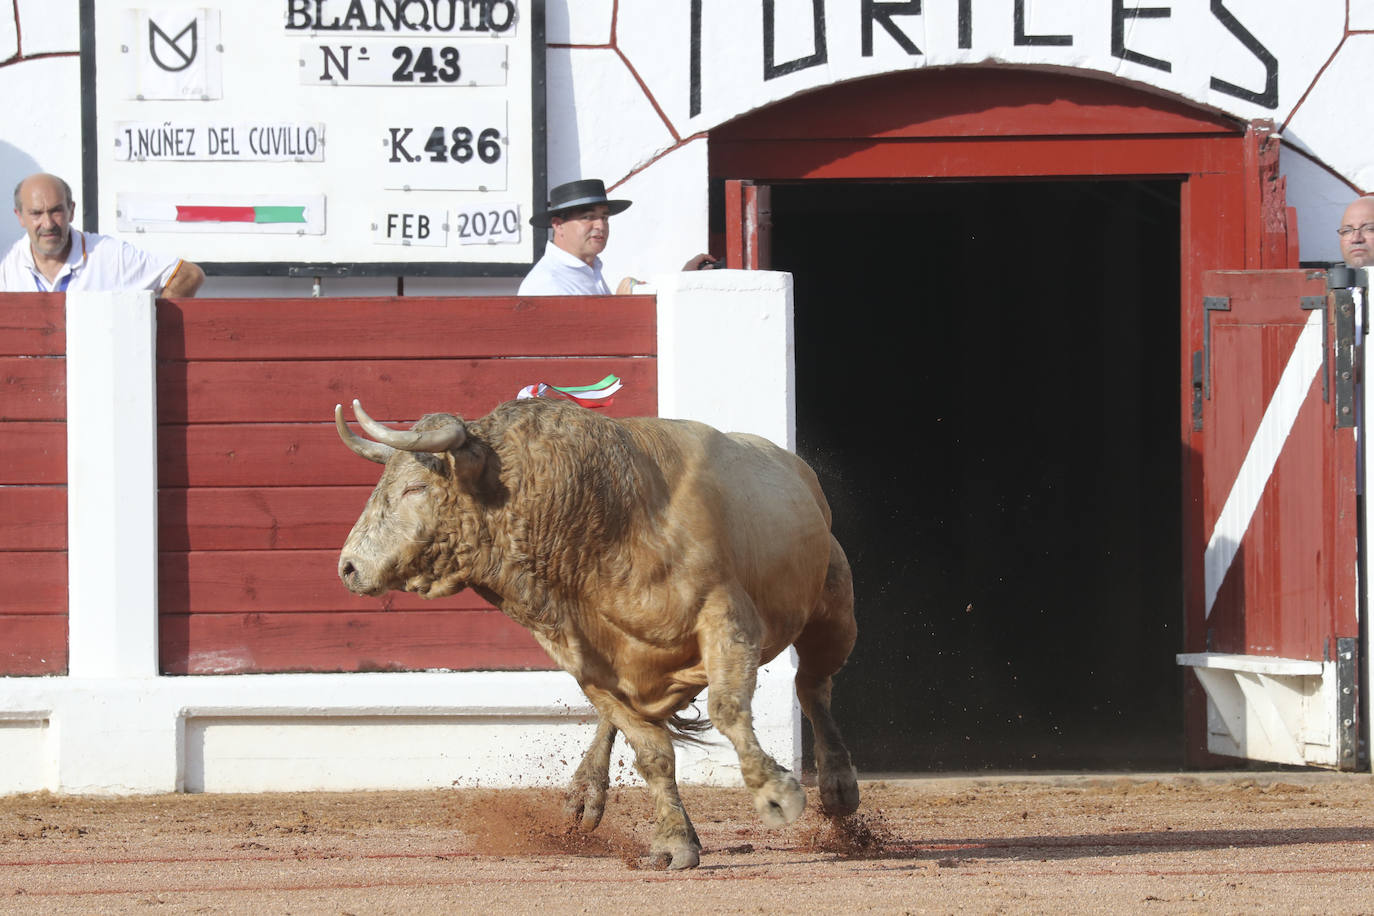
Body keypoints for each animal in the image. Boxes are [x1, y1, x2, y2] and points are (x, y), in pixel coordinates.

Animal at [333, 398, 857, 873]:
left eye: (416, 487)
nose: (349, 567)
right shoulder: (585, 661)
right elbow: (650, 751)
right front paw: (674, 842)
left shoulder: (726, 619)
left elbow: (727, 709)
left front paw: (776, 794)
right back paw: (583, 796)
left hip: (833, 613)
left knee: (812, 684)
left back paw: (839, 789)